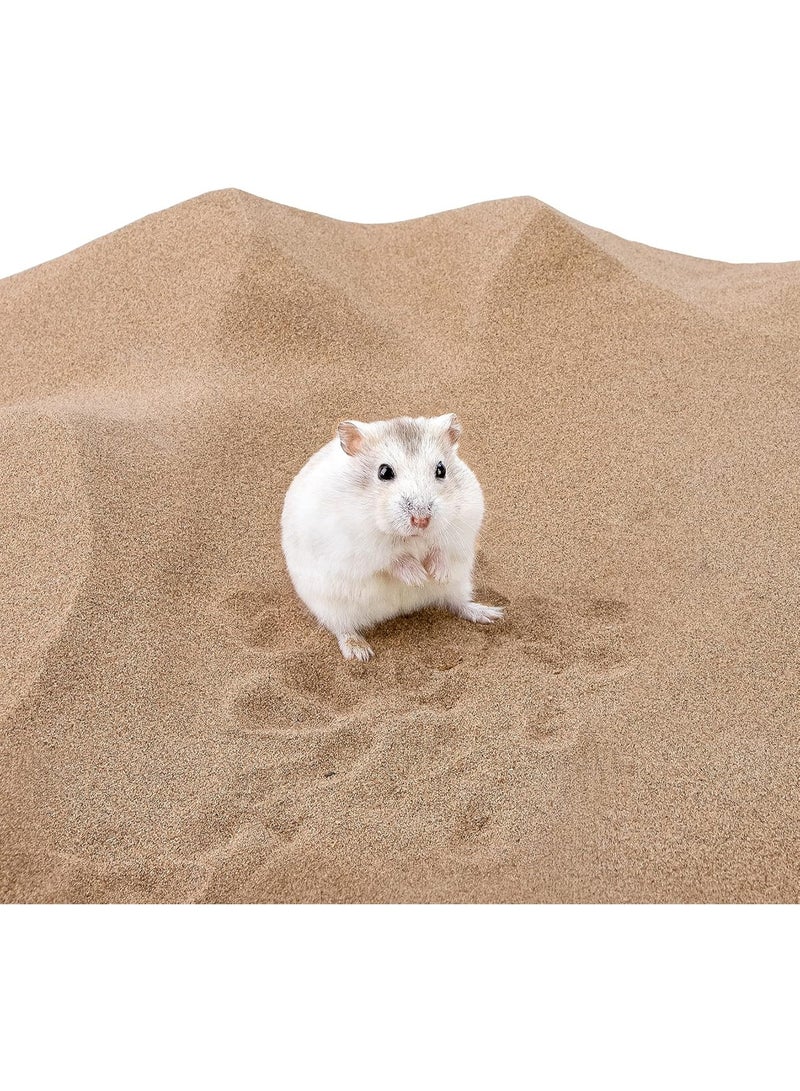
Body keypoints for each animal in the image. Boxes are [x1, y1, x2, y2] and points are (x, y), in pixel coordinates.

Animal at [280, 412, 504, 661]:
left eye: (441, 469)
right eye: (384, 472)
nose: (421, 520)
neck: (413, 537)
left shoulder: (462, 525)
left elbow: (441, 549)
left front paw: (436, 575)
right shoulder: (360, 545)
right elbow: (393, 559)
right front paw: (419, 577)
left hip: (460, 583)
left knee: (457, 603)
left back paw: (490, 614)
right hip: (331, 605)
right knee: (342, 628)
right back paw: (360, 652)